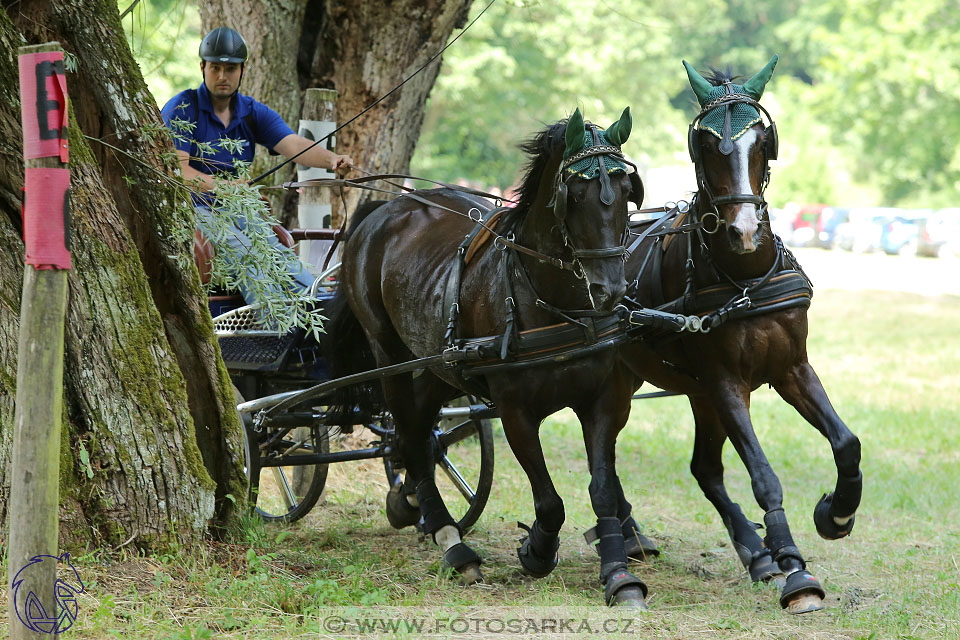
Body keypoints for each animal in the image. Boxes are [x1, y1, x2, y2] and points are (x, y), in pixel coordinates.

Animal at [324, 109, 652, 604]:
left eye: (626, 190)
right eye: (574, 195)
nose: (609, 289)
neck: (554, 304)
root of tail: (384, 209)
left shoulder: (603, 402)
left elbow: (603, 491)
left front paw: (618, 572)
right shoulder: (515, 410)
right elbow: (550, 502)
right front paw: (537, 551)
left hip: (442, 361)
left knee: (421, 427)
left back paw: (411, 504)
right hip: (388, 353)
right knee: (410, 432)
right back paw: (451, 540)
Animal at [620, 57, 868, 612]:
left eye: (761, 140)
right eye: (707, 144)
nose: (746, 231)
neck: (746, 279)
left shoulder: (791, 367)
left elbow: (846, 442)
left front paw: (836, 514)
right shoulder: (725, 382)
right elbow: (763, 476)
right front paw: (794, 566)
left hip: (694, 393)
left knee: (705, 469)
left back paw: (754, 554)